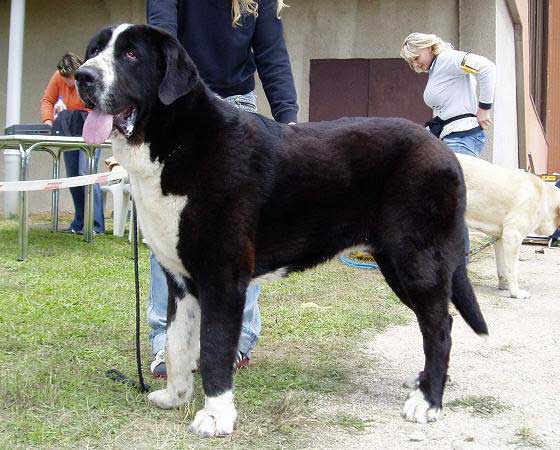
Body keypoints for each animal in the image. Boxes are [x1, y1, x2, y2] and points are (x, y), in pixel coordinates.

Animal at [76, 23, 488, 436]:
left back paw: (428, 401)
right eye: (94, 50)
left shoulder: (222, 277)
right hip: (397, 264)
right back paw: (424, 383)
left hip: (416, 261)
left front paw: (216, 415)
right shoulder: (180, 279)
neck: (178, 142)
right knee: (434, 323)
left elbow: (213, 348)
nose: (83, 76)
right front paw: (175, 396)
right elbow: (179, 343)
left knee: (439, 327)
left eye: (131, 55)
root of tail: (445, 152)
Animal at [458, 155, 556, 298]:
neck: (543, 196)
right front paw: (516, 292)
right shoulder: (513, 236)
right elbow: (512, 269)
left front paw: (504, 286)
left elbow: (503, 267)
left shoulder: (500, 238)